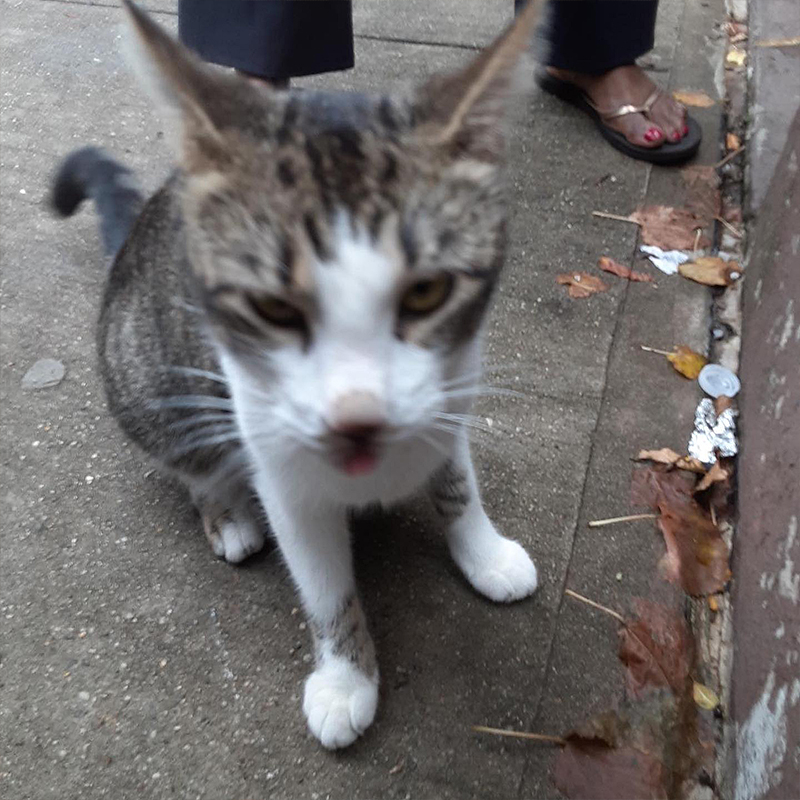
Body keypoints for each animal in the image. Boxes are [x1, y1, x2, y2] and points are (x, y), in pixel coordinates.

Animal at [51, 0, 544, 752]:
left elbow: (456, 480)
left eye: (427, 292)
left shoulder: (453, 384)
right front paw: (345, 677)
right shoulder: (284, 472)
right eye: (273, 308)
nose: (358, 416)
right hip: (144, 377)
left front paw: (482, 550)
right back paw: (224, 510)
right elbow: (323, 583)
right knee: (186, 450)